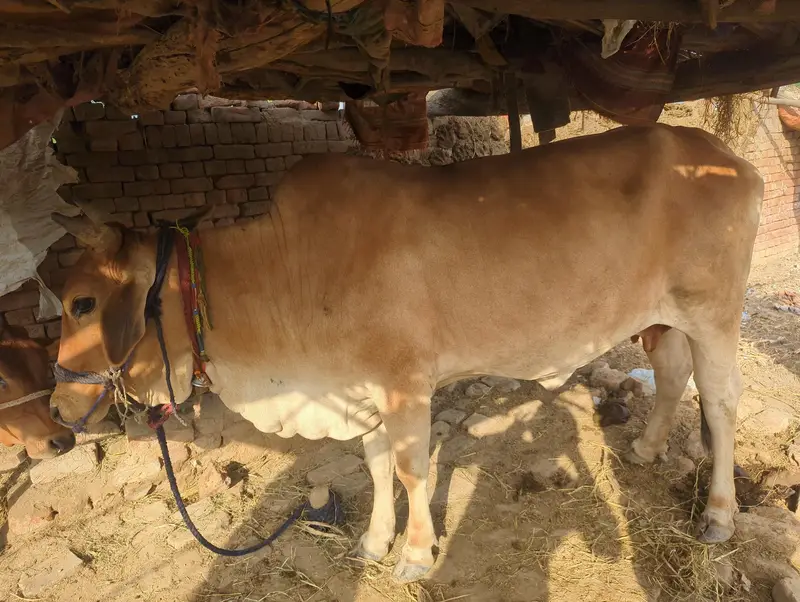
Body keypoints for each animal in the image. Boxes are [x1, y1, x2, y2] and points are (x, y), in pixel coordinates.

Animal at [48, 124, 763, 582]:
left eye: (82, 302)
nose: (55, 405)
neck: (293, 268)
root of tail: (733, 158)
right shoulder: (359, 388)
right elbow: (374, 466)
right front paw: (373, 540)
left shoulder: (405, 381)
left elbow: (413, 468)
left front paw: (416, 555)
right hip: (665, 315)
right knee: (672, 373)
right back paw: (644, 448)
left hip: (714, 311)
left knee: (721, 401)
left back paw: (719, 516)